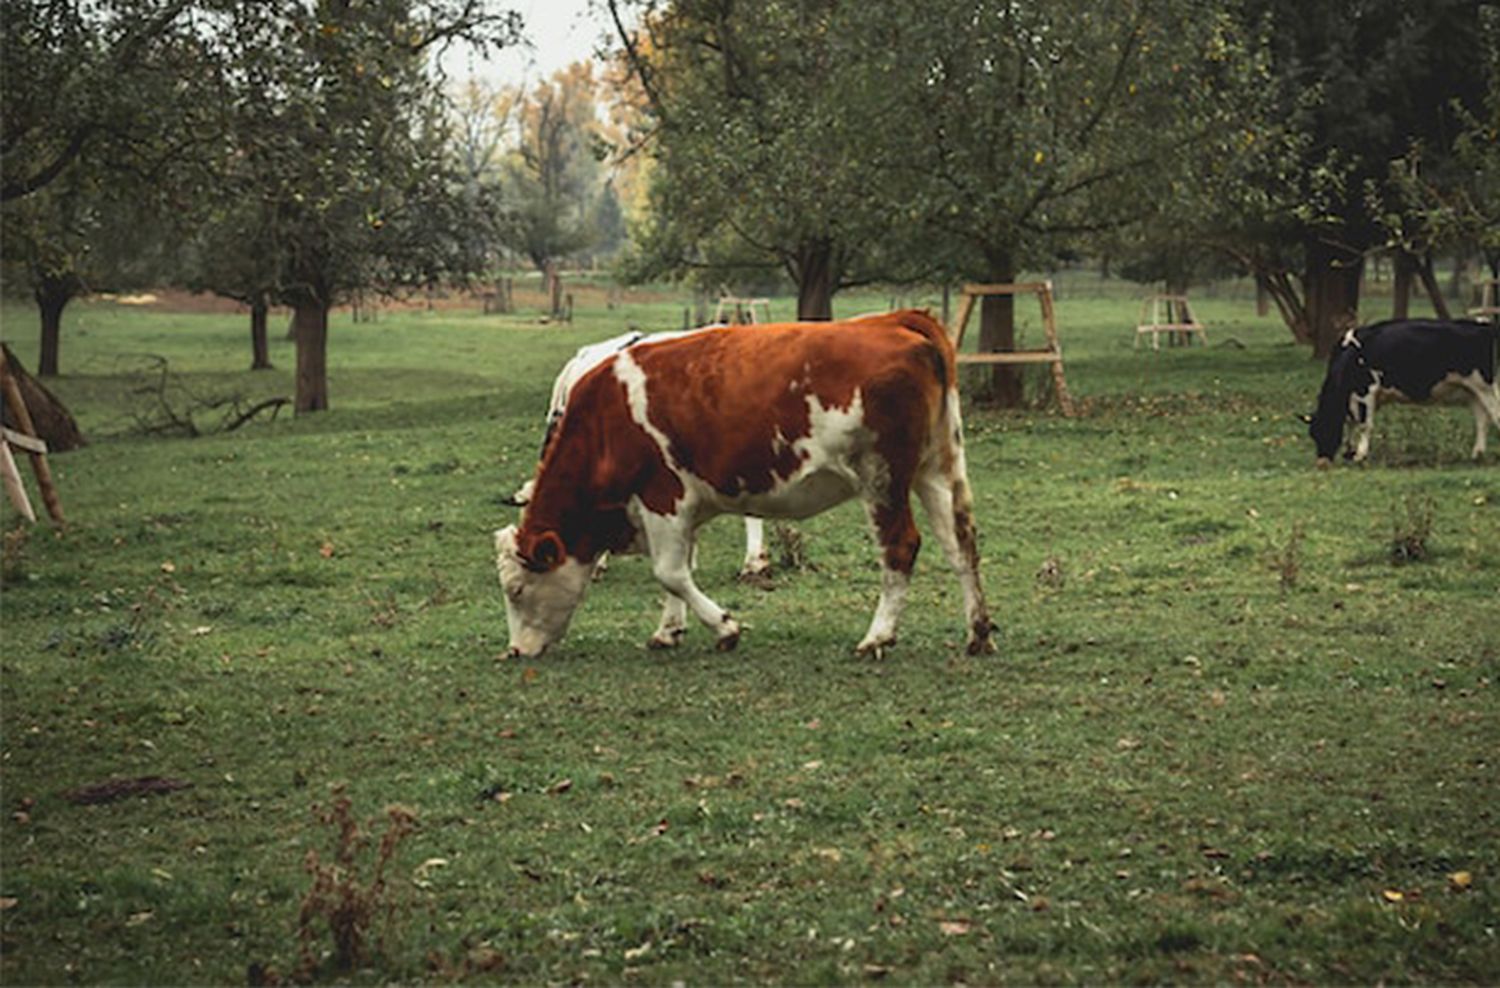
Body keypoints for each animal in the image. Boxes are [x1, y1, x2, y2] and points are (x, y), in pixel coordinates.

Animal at [1302, 320, 1500, 467]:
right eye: (1313, 434)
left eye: (1326, 428)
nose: (1321, 463)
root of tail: (1484, 327)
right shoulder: (1353, 399)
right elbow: (1352, 422)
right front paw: (1349, 452)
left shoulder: (1366, 391)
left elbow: (1365, 425)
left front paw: (1360, 455)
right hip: (1472, 392)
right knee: (1482, 421)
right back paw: (1477, 454)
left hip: (1486, 387)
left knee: (1495, 415)